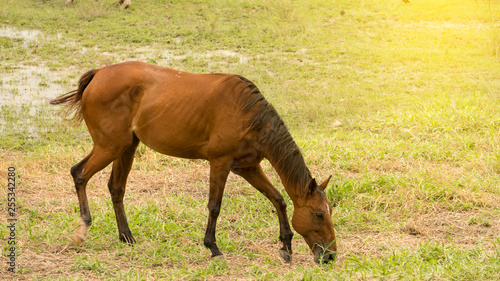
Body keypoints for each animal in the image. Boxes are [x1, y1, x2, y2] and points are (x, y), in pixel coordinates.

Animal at [50, 60, 338, 262]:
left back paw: (126, 236)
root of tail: (98, 74)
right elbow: (214, 206)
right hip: (110, 147)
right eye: (319, 214)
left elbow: (277, 199)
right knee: (79, 173)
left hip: (126, 148)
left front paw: (286, 245)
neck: (250, 115)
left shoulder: (247, 167)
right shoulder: (220, 163)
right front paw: (213, 247)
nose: (330, 256)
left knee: (116, 188)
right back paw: (82, 229)